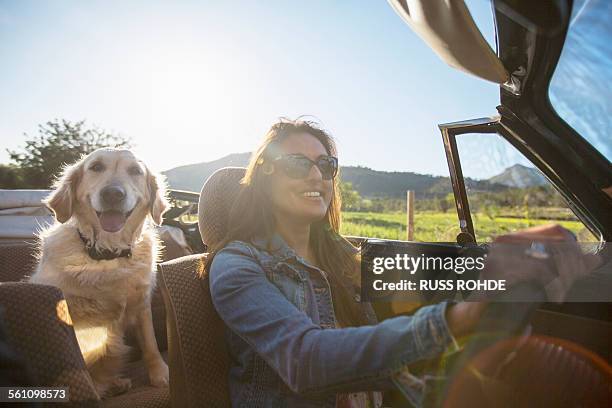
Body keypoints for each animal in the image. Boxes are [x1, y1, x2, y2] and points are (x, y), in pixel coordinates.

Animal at [29, 148, 170, 396]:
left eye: (135, 171)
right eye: (95, 167)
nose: (113, 194)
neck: (107, 252)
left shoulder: (142, 303)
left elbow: (150, 343)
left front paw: (159, 373)